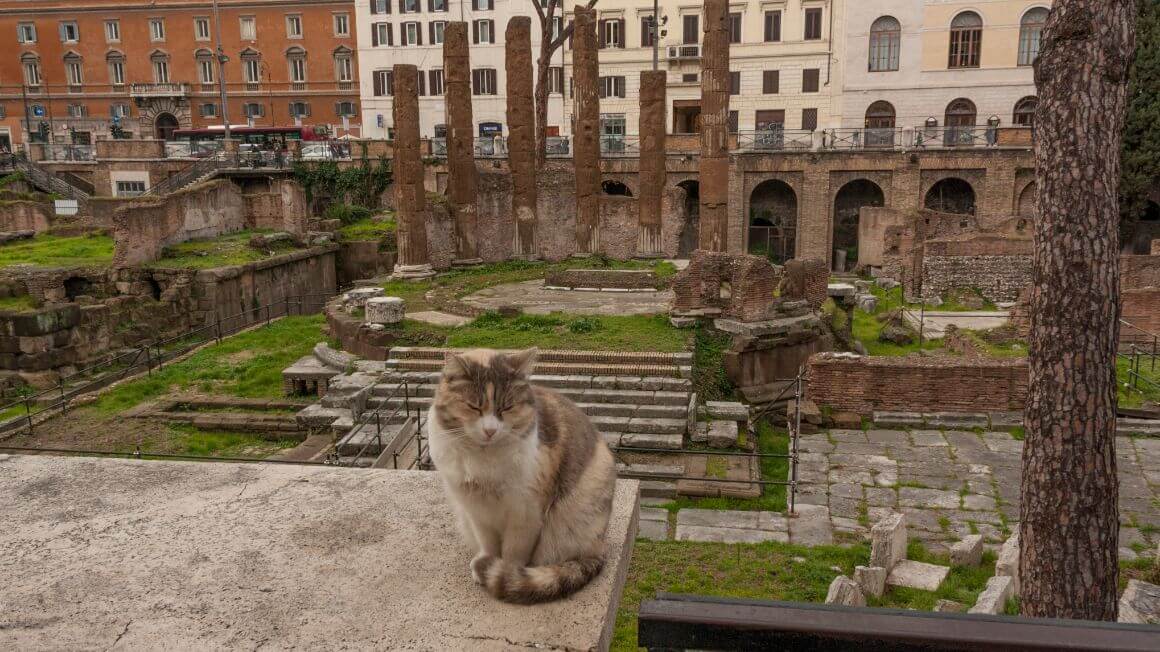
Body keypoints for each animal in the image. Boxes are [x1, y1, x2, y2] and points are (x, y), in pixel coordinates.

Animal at [429, 348, 617, 603]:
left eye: (506, 408)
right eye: (474, 407)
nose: (490, 430)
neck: (484, 460)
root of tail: (600, 544)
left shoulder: (526, 514)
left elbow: (513, 553)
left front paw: (506, 573)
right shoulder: (476, 510)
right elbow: (488, 543)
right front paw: (488, 561)